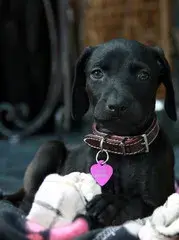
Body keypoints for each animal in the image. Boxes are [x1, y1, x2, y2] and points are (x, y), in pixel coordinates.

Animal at [3, 38, 177, 228]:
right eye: (97, 73)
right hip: (50, 147)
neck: (121, 144)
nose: (117, 105)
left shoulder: (159, 200)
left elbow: (137, 202)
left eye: (143, 75)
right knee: (29, 197)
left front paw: (112, 204)